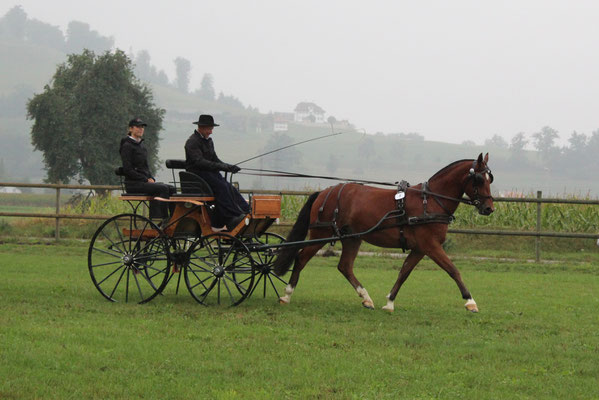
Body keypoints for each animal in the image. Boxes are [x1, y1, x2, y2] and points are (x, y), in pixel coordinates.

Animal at [274, 152, 494, 310]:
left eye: (489, 179)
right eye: (479, 180)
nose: (489, 208)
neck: (430, 201)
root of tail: (325, 192)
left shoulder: (420, 248)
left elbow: (404, 272)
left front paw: (389, 302)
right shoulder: (430, 246)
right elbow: (452, 269)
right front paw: (470, 301)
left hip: (352, 238)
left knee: (345, 266)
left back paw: (366, 298)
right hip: (321, 234)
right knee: (301, 258)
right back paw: (287, 294)